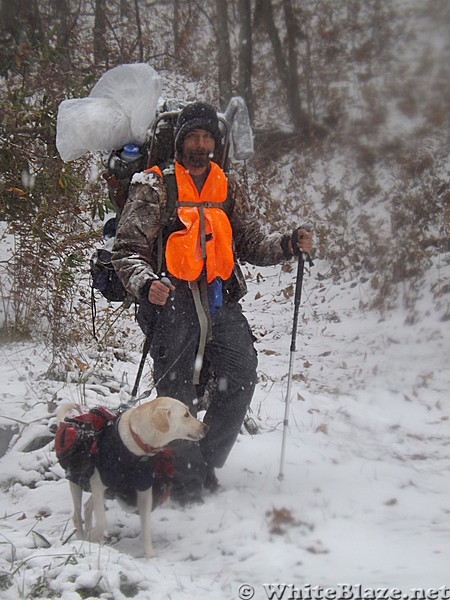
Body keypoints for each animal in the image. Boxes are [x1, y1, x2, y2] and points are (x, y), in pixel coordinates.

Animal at [56, 398, 209, 556]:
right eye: (186, 414)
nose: (206, 427)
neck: (136, 446)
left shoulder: (144, 490)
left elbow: (146, 526)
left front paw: (150, 556)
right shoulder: (98, 482)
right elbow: (102, 523)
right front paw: (92, 535)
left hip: (106, 488)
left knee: (87, 508)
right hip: (78, 482)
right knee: (77, 515)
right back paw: (83, 537)